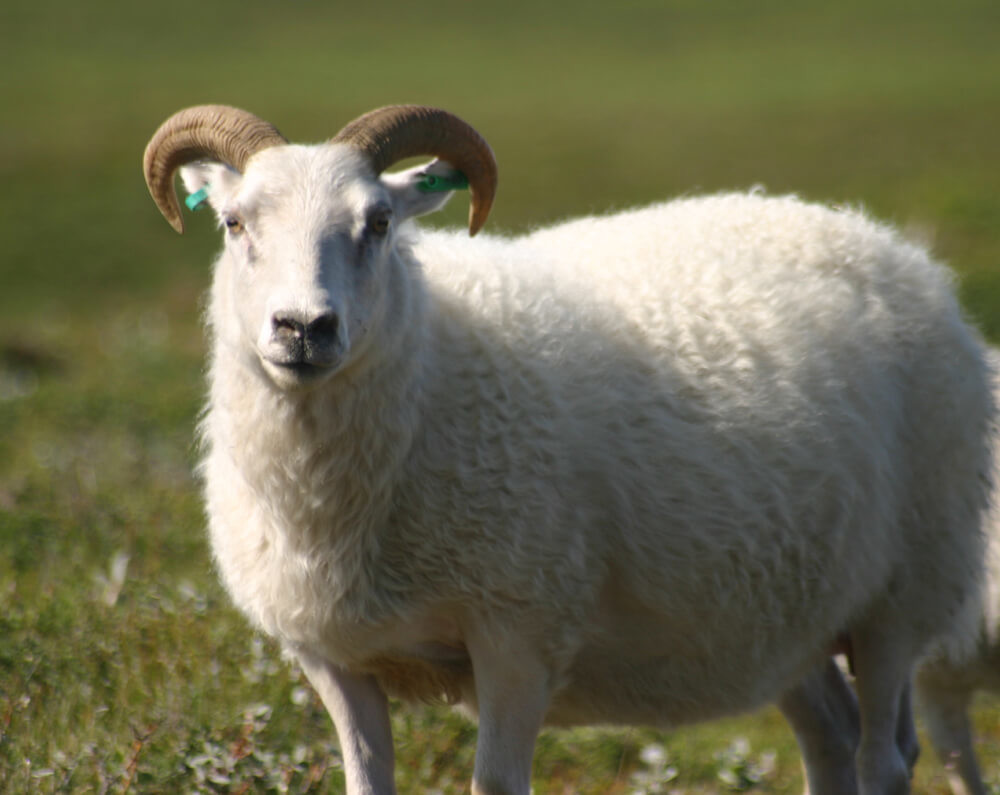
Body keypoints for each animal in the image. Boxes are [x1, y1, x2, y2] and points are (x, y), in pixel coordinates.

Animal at [145, 105, 996, 795]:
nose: (303, 328)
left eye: (379, 221)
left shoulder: (519, 631)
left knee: (885, 758)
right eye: (234, 223)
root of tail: (886, 243)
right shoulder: (336, 659)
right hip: (788, 613)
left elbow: (497, 783)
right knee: (832, 733)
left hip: (901, 590)